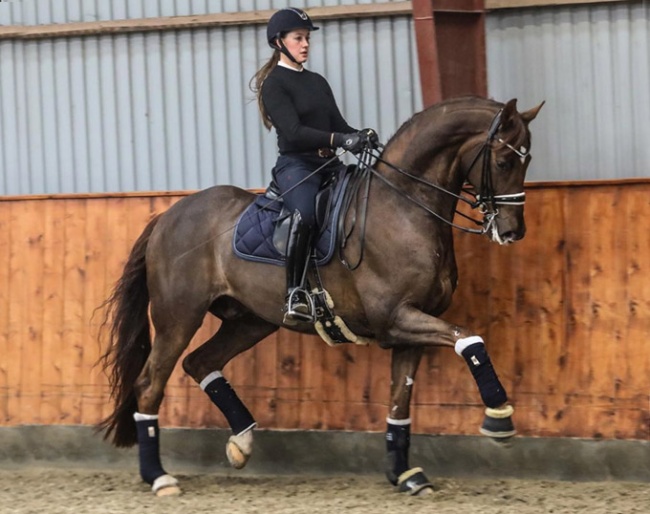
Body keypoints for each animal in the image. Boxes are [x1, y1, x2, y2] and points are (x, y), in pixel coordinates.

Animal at [97, 94, 540, 494]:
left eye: (528, 160)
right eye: (504, 161)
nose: (513, 231)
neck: (403, 207)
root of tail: (167, 216)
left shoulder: (409, 330)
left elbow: (400, 401)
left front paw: (404, 474)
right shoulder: (395, 318)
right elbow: (470, 339)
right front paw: (499, 418)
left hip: (250, 321)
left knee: (200, 361)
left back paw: (241, 443)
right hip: (179, 317)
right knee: (150, 384)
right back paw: (159, 477)